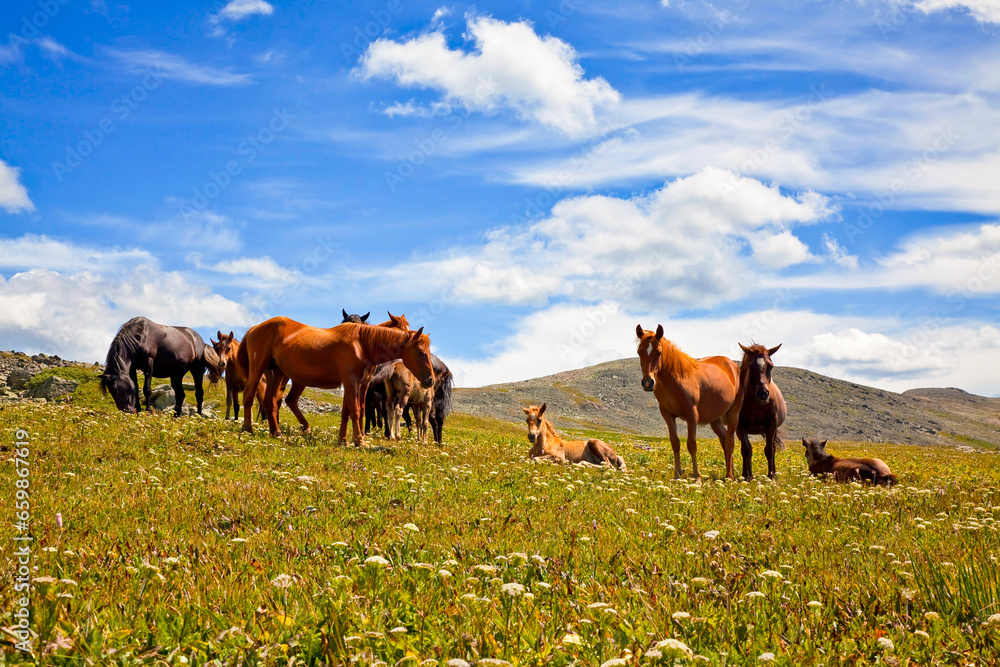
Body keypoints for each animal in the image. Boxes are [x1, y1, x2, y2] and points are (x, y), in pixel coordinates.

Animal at [238, 318, 434, 445]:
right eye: (420, 352)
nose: (430, 380)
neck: (362, 344)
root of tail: (255, 327)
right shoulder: (351, 382)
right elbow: (355, 411)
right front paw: (359, 440)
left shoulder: (358, 384)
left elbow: (350, 411)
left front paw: (344, 440)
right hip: (258, 369)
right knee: (249, 396)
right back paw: (248, 429)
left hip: (276, 373)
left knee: (271, 402)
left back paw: (277, 433)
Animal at [635, 324, 744, 480]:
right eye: (639, 352)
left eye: (659, 352)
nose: (648, 382)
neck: (676, 380)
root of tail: (733, 366)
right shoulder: (668, 415)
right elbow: (675, 443)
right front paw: (677, 475)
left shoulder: (692, 416)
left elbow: (692, 444)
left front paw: (697, 476)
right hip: (715, 419)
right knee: (724, 440)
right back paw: (731, 473)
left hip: (733, 413)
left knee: (730, 441)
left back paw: (729, 476)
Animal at [736, 343, 786, 480]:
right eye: (750, 366)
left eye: (771, 366)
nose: (763, 394)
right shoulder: (740, 425)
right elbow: (746, 449)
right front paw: (746, 476)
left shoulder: (772, 424)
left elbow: (769, 450)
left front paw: (771, 476)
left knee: (772, 448)